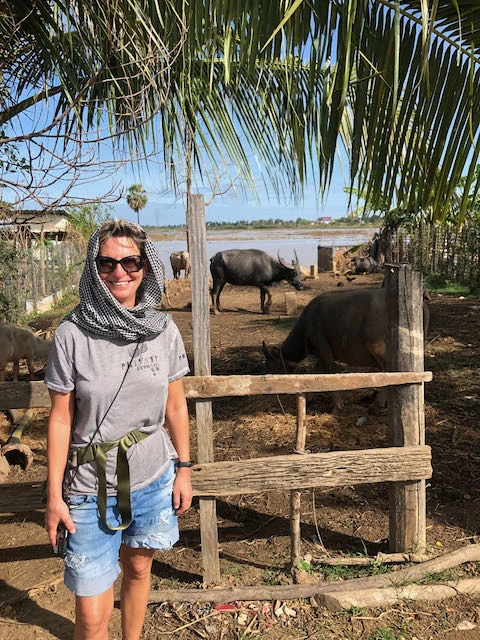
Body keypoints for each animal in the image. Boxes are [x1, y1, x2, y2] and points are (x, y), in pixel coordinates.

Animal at [264, 286, 430, 408]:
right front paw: (309, 397)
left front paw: (338, 405)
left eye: (271, 364)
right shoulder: (321, 354)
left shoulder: (323, 349)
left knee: (390, 372)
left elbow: (330, 373)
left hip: (379, 347)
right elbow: (316, 373)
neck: (306, 325)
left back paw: (380, 402)